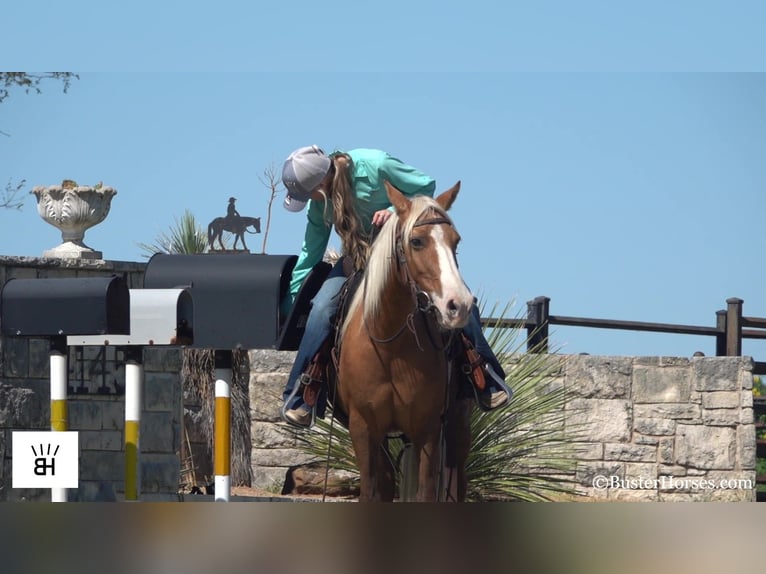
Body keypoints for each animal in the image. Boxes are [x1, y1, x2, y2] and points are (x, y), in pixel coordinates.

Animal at [340, 182, 476, 502]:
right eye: (416, 241)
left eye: (456, 241)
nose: (459, 305)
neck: (391, 351)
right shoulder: (363, 427)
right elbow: (371, 490)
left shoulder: (428, 428)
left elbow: (425, 492)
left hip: (457, 427)